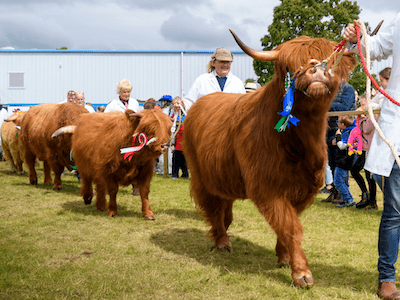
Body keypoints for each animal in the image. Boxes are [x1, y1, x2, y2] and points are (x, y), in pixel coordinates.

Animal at [183, 31, 358, 288]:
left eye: (331, 61)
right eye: (288, 66)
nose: (316, 71)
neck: (298, 144)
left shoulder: (304, 188)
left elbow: (287, 224)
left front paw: (284, 256)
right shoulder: (267, 187)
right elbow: (290, 226)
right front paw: (301, 273)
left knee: (225, 206)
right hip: (201, 175)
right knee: (214, 208)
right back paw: (222, 241)